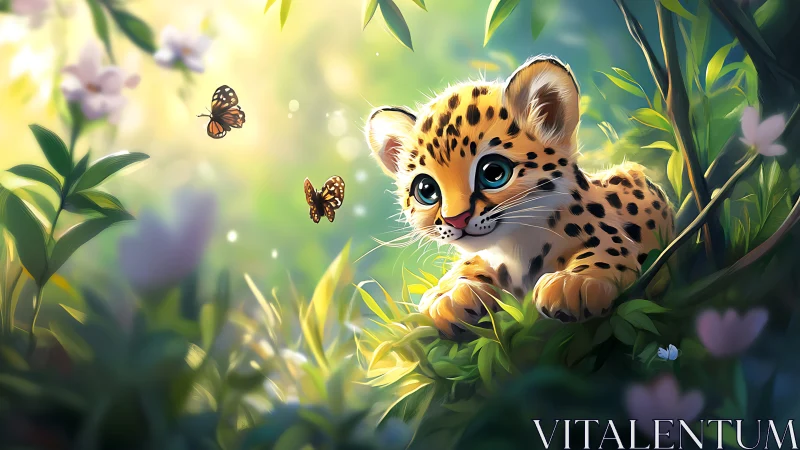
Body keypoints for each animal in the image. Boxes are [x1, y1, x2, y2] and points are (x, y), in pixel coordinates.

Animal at [365, 55, 674, 337]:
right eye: (426, 191)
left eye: (493, 172)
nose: (456, 219)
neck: (513, 249)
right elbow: (468, 263)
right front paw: (448, 295)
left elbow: (607, 246)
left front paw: (574, 282)